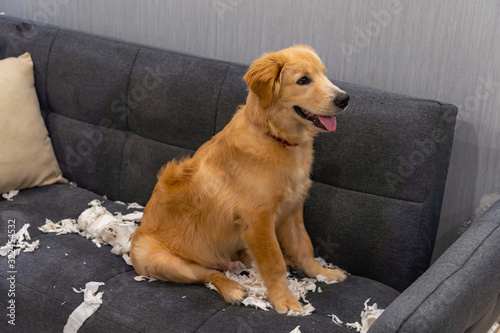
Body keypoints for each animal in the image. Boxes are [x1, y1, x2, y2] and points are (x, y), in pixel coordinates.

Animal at [133, 45, 352, 312]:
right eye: (303, 80)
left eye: (324, 74)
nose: (344, 99)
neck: (274, 136)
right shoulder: (257, 221)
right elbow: (273, 263)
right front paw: (285, 301)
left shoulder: (292, 210)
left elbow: (304, 247)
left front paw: (322, 273)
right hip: (157, 258)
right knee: (208, 273)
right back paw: (232, 289)